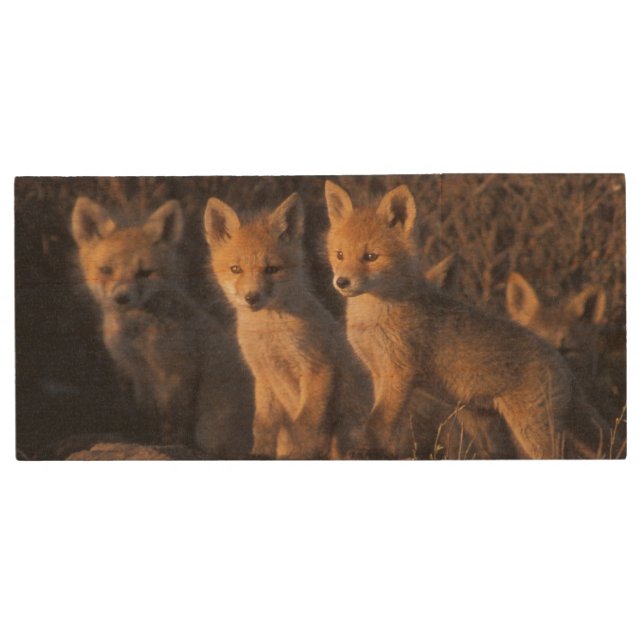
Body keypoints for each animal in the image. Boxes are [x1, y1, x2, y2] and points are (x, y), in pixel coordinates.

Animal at [71, 196, 253, 457]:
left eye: (144, 273)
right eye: (106, 270)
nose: (122, 298)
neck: (140, 340)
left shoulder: (178, 374)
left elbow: (174, 420)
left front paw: (172, 444)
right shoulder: (140, 375)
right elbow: (149, 415)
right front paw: (149, 440)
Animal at [203, 193, 372, 459]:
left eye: (272, 270)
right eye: (236, 269)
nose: (252, 297)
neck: (271, 337)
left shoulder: (318, 368)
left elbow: (304, 426)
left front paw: (297, 454)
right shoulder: (263, 376)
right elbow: (263, 426)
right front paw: (259, 454)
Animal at [325, 180, 607, 459]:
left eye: (371, 257)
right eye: (339, 255)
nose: (341, 282)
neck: (371, 319)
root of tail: (562, 363)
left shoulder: (399, 373)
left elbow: (377, 424)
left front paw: (366, 450)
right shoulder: (378, 372)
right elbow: (386, 426)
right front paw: (381, 451)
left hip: (532, 432)